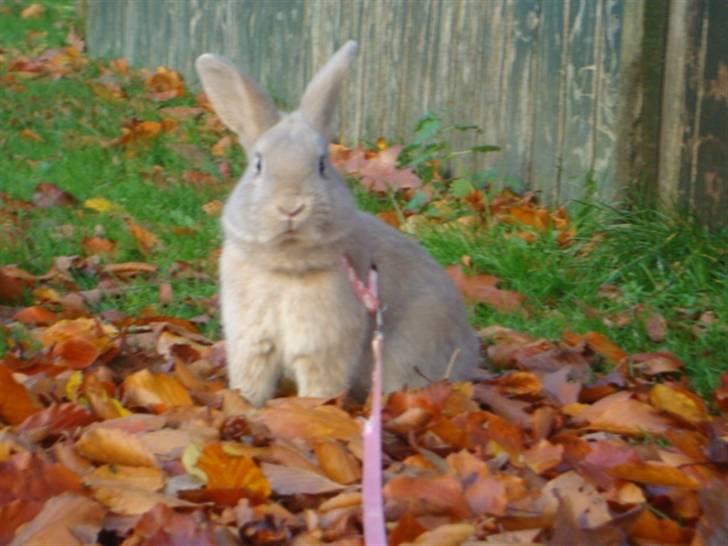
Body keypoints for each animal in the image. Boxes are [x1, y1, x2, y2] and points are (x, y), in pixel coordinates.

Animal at [195, 41, 480, 406]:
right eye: (258, 164)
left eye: (321, 165)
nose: (291, 207)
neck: (286, 266)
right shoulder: (251, 340)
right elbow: (251, 380)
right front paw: (246, 404)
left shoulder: (323, 345)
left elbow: (320, 387)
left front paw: (312, 407)